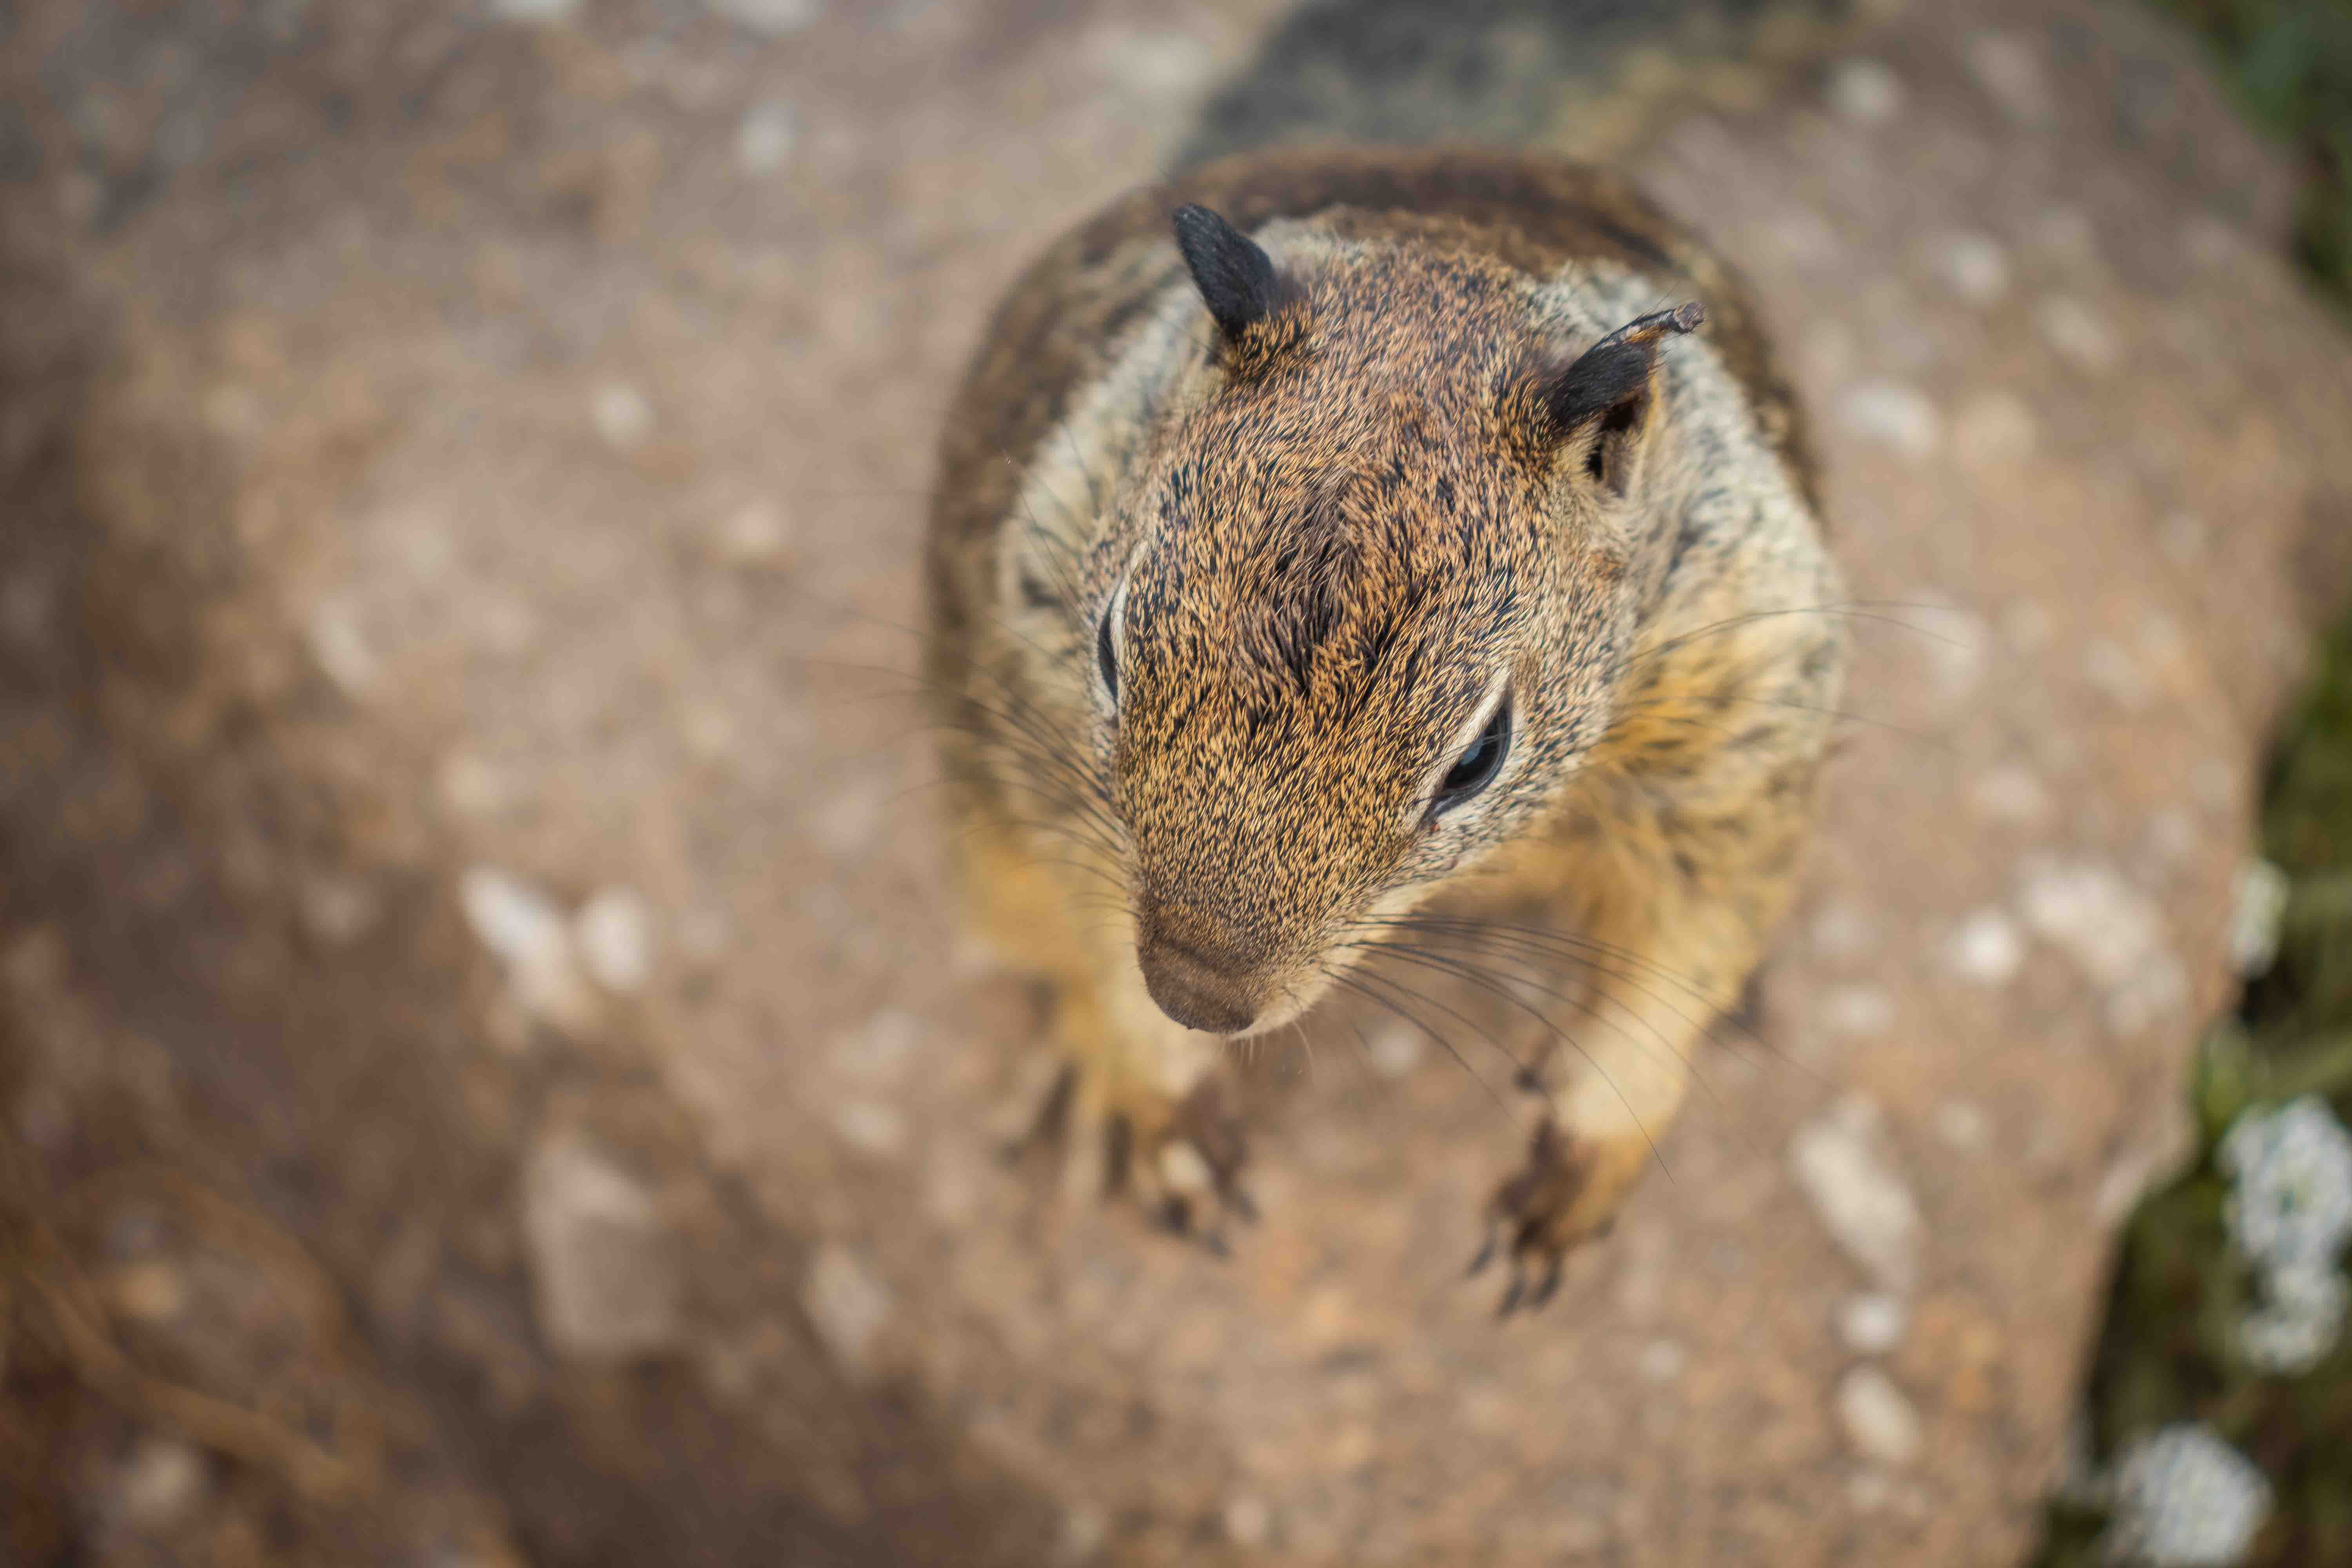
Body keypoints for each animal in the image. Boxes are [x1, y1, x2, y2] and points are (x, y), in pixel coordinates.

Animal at [925, 147, 1844, 1309]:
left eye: (1478, 759)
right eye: (1108, 650)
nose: (1196, 997)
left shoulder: (1738, 732)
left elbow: (1676, 971)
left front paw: (1570, 1180)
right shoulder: (1040, 689)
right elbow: (1089, 911)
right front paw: (1161, 1097)